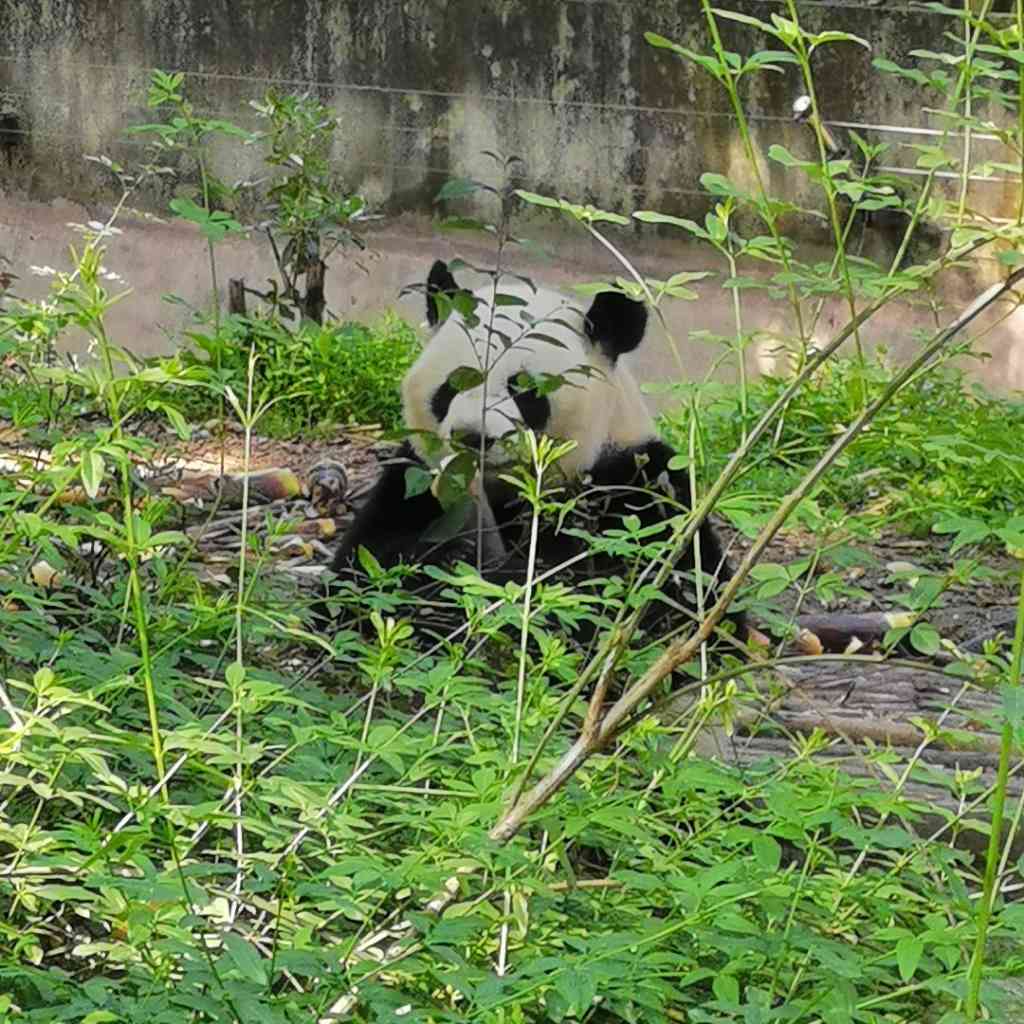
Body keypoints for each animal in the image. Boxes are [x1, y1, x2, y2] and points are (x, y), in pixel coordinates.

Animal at [323, 260, 741, 651]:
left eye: (524, 389)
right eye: (452, 385)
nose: (472, 436)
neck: (508, 493)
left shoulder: (638, 484)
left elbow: (665, 600)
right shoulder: (416, 480)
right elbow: (364, 571)